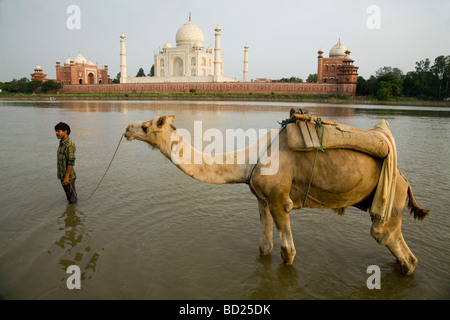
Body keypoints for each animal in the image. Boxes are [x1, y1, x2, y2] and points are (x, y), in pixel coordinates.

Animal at [124, 113, 428, 276]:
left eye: (147, 126)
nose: (127, 128)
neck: (247, 159)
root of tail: (406, 181)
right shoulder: (262, 198)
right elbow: (264, 246)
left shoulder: (281, 201)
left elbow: (288, 251)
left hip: (391, 199)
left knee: (391, 241)